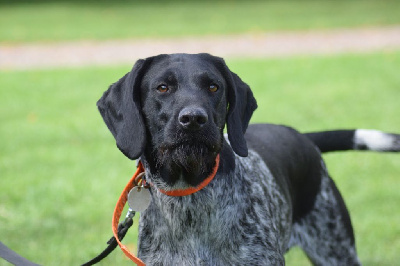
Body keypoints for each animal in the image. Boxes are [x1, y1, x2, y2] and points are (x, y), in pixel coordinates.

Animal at [97, 53, 400, 264]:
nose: (194, 119)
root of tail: (302, 136)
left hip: (336, 249)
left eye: (213, 87)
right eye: (162, 87)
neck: (188, 200)